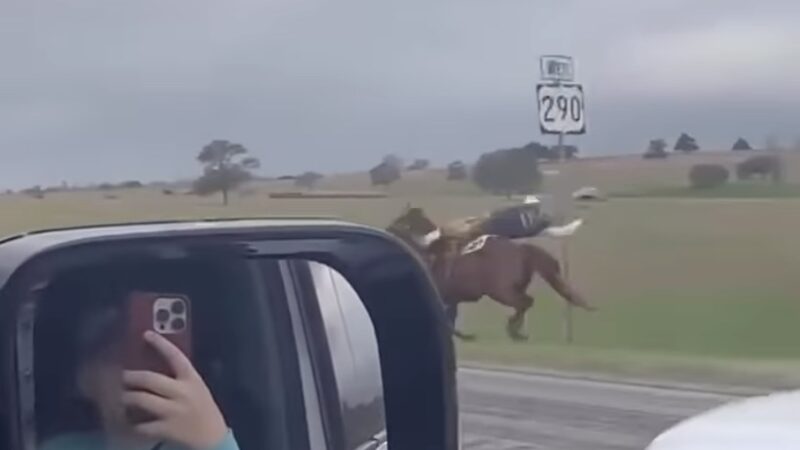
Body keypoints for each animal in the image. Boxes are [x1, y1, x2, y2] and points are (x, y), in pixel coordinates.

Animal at [388, 207, 592, 342]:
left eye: (400, 221)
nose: (388, 230)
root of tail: (523, 250)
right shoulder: (452, 299)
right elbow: (451, 319)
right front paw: (465, 335)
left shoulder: (445, 296)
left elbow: (448, 320)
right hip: (510, 289)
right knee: (525, 303)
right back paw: (516, 331)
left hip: (501, 291)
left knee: (525, 302)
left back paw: (514, 331)